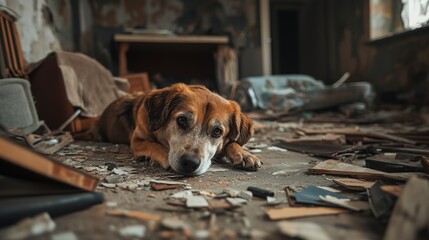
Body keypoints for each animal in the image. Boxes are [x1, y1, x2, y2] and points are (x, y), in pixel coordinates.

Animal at [95, 83, 260, 175]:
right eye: (182, 120)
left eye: (217, 131)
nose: (190, 163)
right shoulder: (138, 140)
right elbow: (154, 145)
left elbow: (232, 142)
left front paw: (244, 154)